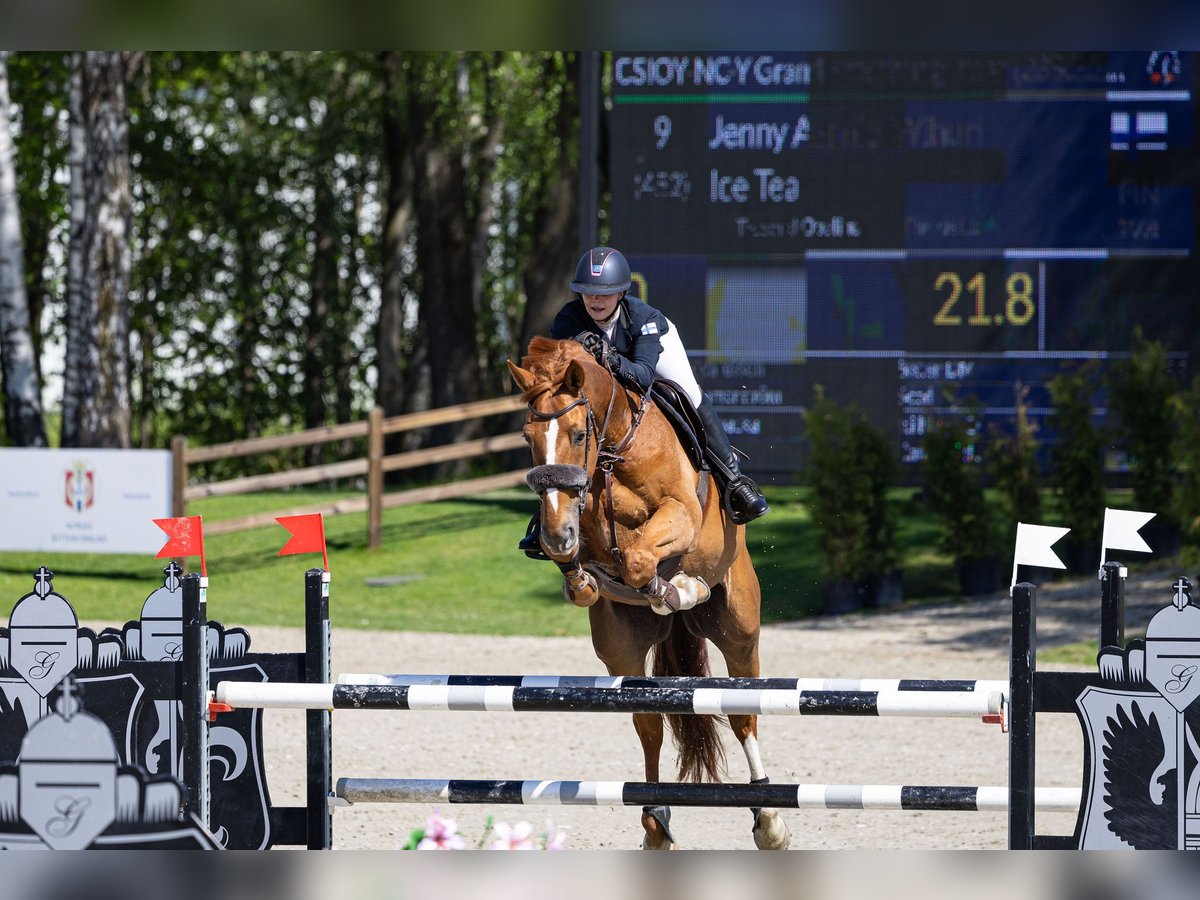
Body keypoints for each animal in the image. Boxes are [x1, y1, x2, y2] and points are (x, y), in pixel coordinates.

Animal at [508, 340, 796, 854]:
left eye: (578, 434)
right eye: (527, 438)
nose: (558, 535)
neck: (613, 452)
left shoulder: (680, 514)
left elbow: (641, 559)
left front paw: (681, 587)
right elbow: (601, 570)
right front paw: (581, 577)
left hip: (740, 631)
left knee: (743, 716)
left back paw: (768, 820)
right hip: (621, 650)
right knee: (649, 725)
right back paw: (655, 820)